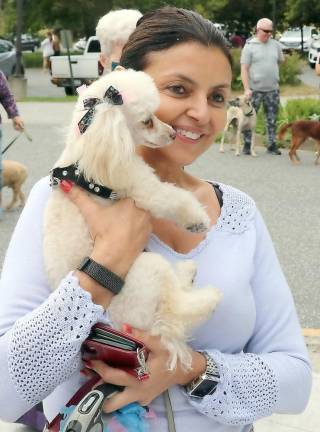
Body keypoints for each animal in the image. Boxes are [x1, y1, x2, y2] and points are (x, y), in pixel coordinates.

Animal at [43, 69, 221, 370]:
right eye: (147, 121)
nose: (172, 133)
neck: (90, 148)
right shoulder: (141, 186)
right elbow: (173, 198)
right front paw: (197, 220)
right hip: (149, 268)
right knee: (174, 304)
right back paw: (202, 291)